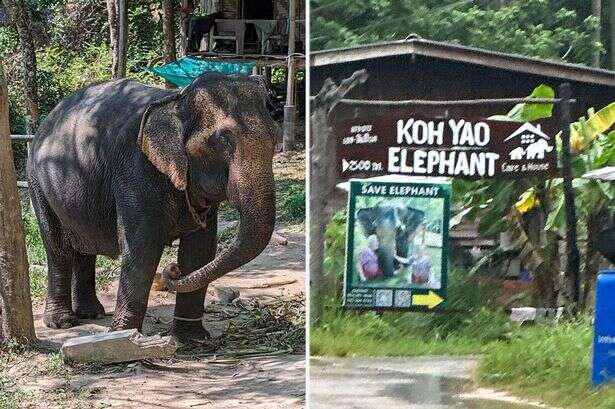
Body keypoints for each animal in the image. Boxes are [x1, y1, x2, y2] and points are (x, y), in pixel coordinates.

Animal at [27, 73, 278, 342]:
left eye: (275, 137)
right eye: (222, 141)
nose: (173, 271)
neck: (176, 100)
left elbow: (200, 250)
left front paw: (192, 340)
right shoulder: (135, 170)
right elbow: (142, 247)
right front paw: (124, 338)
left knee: (85, 249)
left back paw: (91, 313)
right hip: (37, 183)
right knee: (57, 248)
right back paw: (62, 322)